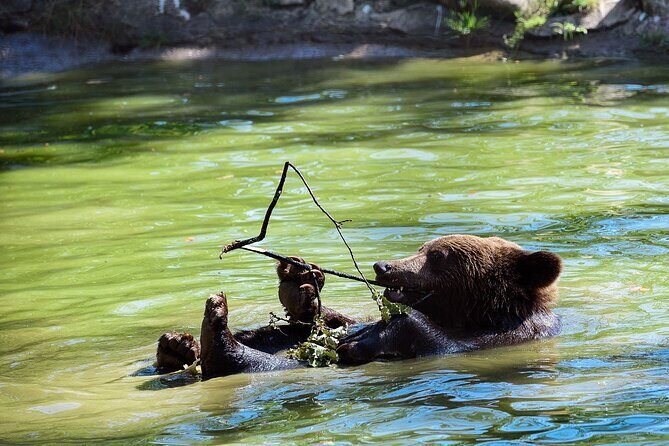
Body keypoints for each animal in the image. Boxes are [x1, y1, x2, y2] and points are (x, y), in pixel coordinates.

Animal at [155, 234, 562, 380]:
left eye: (438, 255)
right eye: (422, 247)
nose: (383, 266)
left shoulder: (500, 338)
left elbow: (430, 337)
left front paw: (361, 341)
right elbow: (329, 322)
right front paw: (298, 280)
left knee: (256, 359)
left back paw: (213, 331)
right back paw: (178, 346)